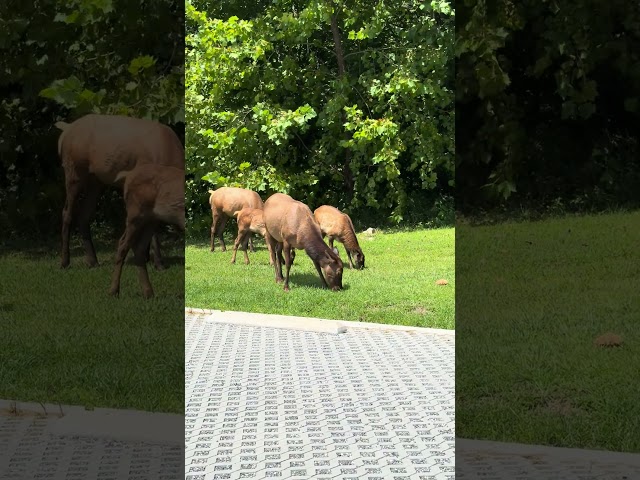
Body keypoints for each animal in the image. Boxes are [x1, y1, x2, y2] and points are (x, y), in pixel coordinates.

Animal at [53, 113, 184, 270]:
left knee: (84, 215)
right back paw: (65, 262)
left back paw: (93, 261)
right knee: (67, 212)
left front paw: (146, 258)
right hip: (74, 169)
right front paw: (159, 264)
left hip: (95, 181)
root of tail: (66, 130)